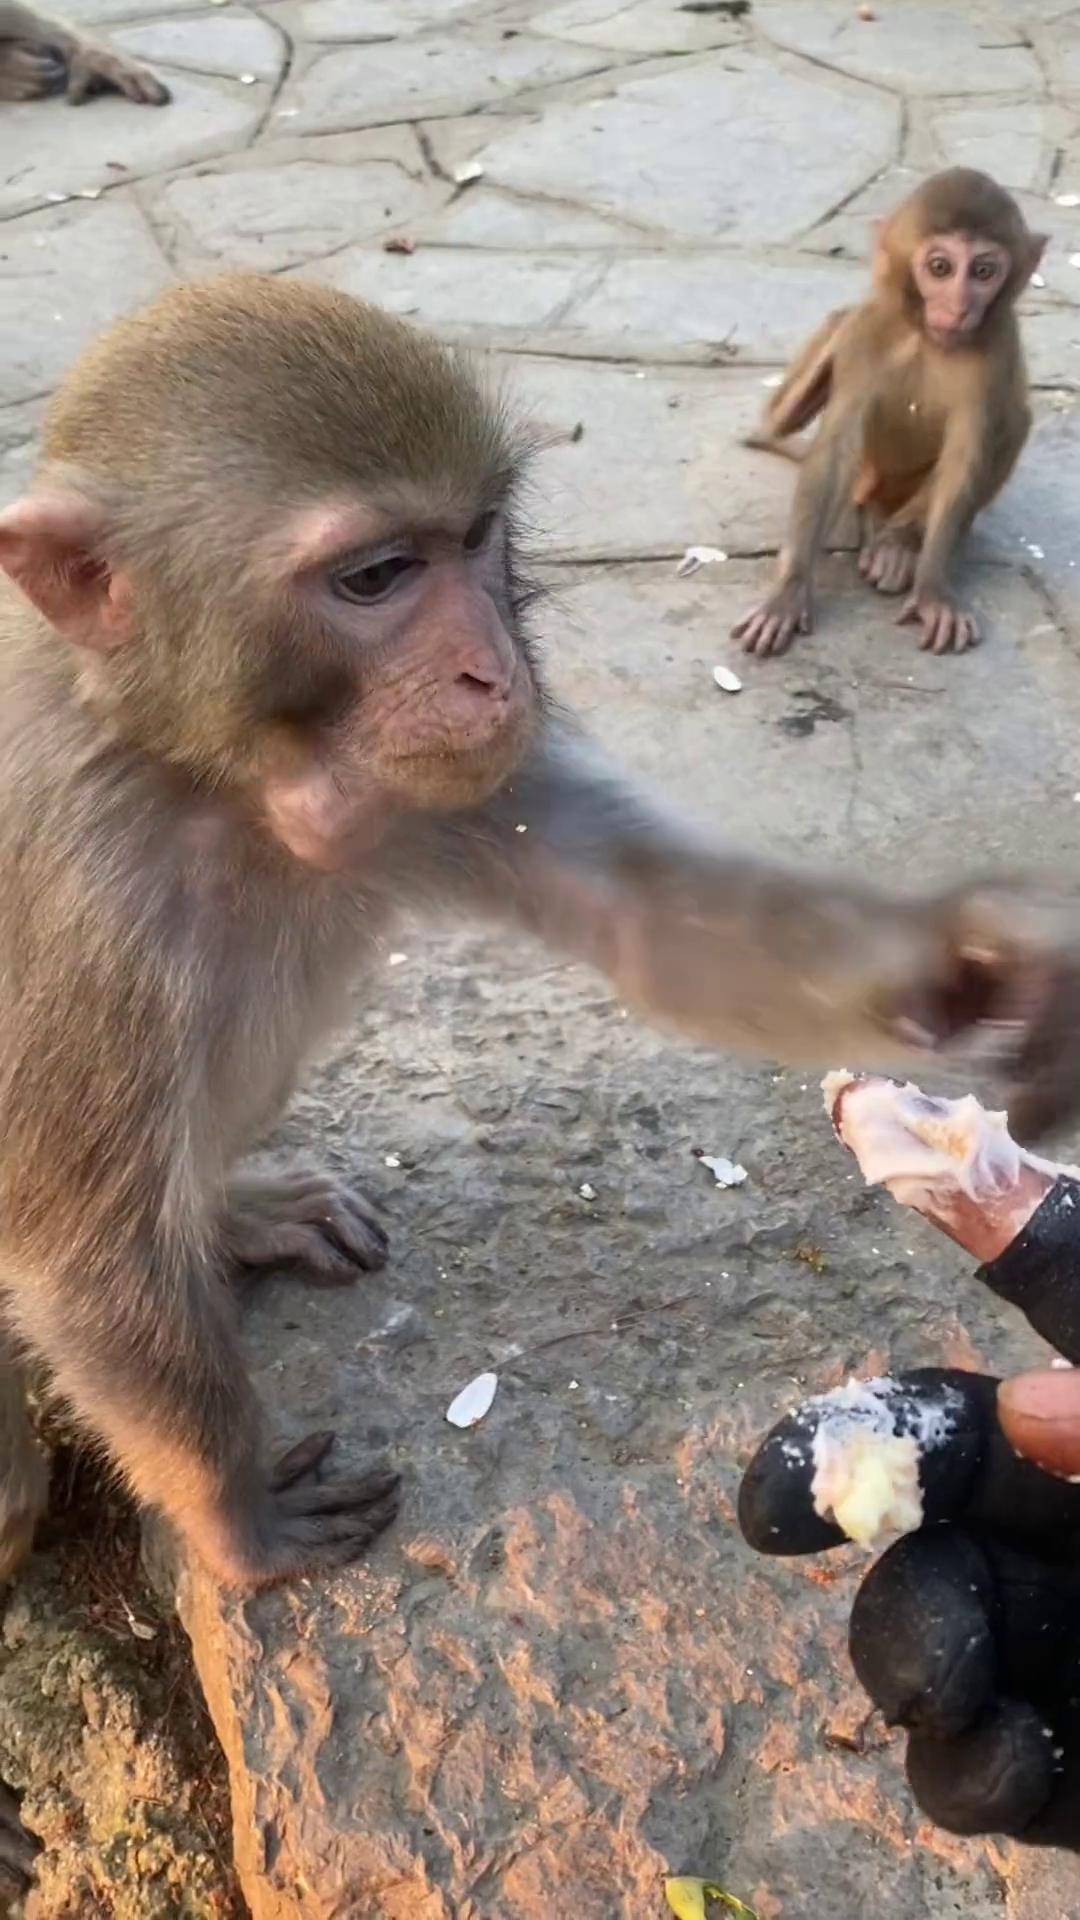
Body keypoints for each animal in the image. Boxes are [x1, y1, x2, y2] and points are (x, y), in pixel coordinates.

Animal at [0, 274, 1068, 1635]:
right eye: (376, 576)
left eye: (476, 539)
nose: (490, 668)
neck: (202, 775)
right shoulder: (86, 897)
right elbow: (78, 1257)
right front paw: (232, 1516)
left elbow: (656, 915)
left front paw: (984, 970)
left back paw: (230, 1212)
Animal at [730, 168, 1045, 660]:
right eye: (940, 268)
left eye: (983, 271)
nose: (958, 307)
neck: (926, 336)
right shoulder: (870, 331)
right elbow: (836, 446)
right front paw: (788, 591)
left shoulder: (998, 347)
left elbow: (966, 455)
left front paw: (932, 590)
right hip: (863, 473)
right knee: (795, 407)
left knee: (1014, 420)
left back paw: (899, 543)